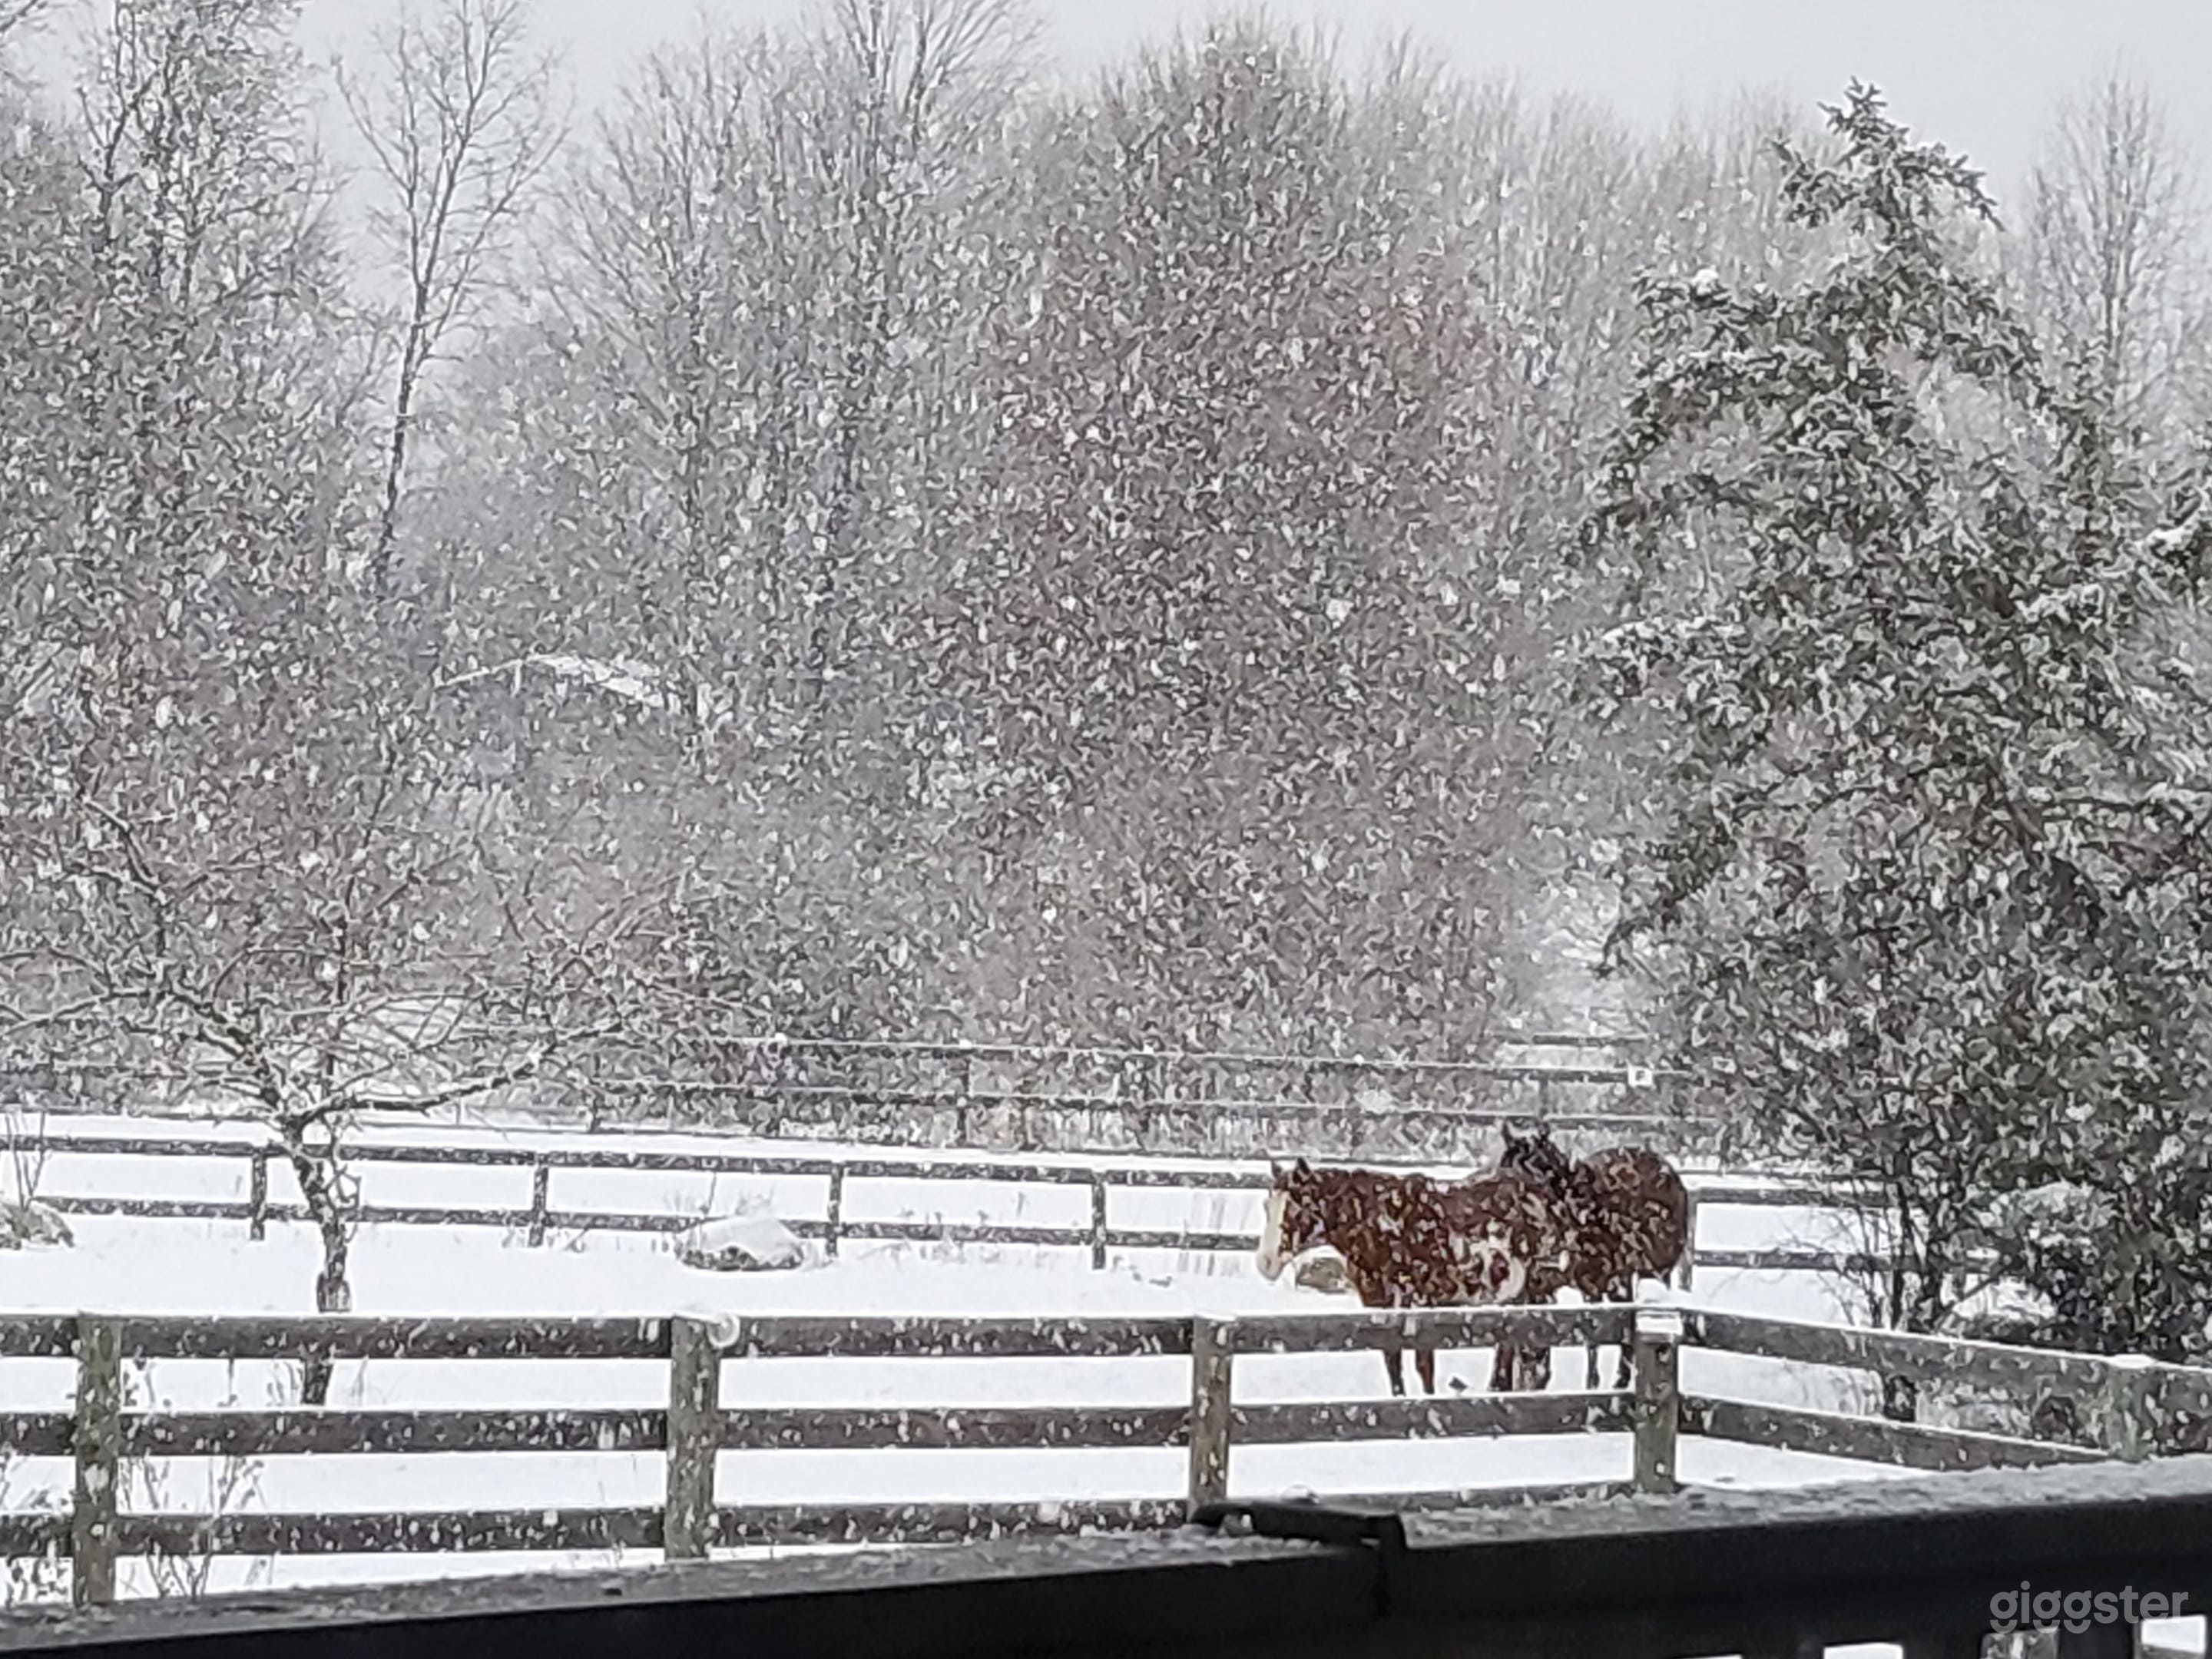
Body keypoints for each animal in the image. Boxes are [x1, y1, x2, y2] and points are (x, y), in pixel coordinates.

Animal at [1255, 1157, 1558, 1397]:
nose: (1265, 1262)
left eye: (1297, 1208)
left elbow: (1424, 1365)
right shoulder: (1380, 1307)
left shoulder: (1421, 1306)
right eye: (1266, 1206)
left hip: (1534, 1291)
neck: (1388, 1229)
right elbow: (1393, 1361)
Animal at [1496, 1125, 1691, 1390]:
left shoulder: (1591, 1283)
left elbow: (1591, 1335)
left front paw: (1589, 1384)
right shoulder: (1537, 1286)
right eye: (1502, 1166)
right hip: (1620, 1278)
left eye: (1536, 1169)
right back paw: (1622, 1377)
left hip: (1653, 1271)